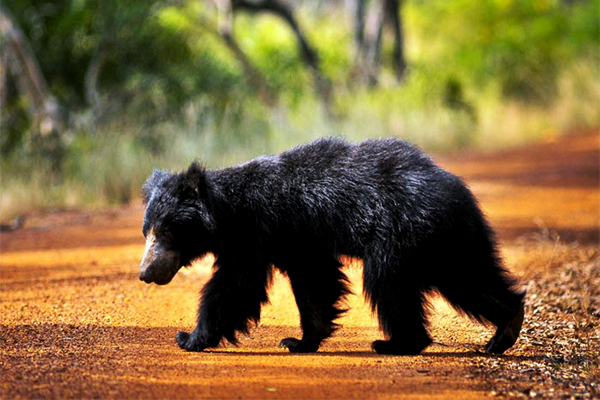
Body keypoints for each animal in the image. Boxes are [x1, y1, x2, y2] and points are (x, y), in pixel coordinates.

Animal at [141, 137, 524, 354]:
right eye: (147, 231)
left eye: (164, 231)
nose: (145, 273)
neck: (226, 211)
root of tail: (454, 188)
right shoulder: (297, 239)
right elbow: (314, 283)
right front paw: (300, 342)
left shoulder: (256, 232)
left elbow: (235, 285)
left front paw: (189, 338)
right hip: (448, 241)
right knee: (469, 279)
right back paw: (505, 328)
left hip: (401, 232)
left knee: (389, 284)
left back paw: (396, 344)